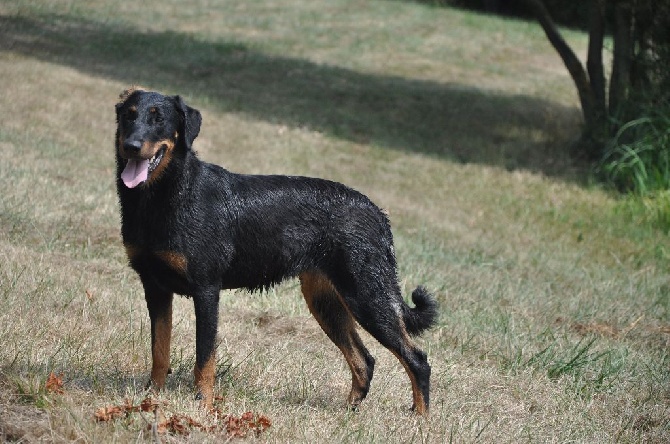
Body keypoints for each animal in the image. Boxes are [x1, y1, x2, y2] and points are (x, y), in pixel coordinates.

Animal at [115, 88, 440, 414]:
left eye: (159, 119)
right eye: (129, 115)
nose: (131, 146)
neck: (167, 196)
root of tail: (378, 214)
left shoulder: (206, 290)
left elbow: (204, 359)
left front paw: (203, 408)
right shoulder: (155, 287)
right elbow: (159, 350)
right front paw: (151, 397)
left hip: (367, 297)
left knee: (417, 360)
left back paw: (420, 418)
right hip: (326, 302)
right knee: (365, 360)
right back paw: (348, 413)